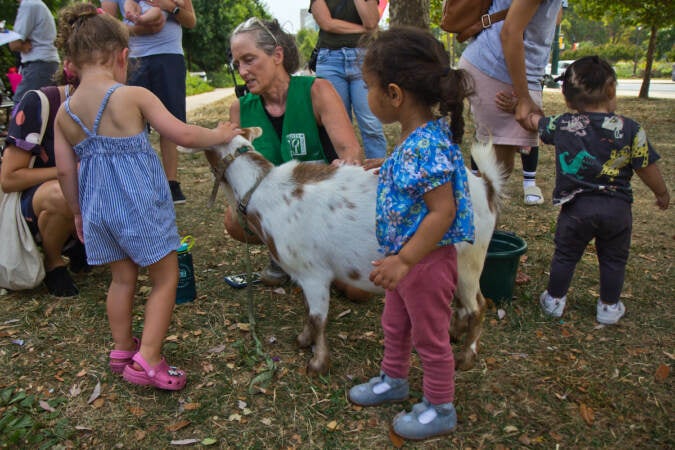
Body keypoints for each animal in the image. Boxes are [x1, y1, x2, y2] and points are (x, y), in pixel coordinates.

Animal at [185, 128, 502, 374]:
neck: (263, 190)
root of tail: (486, 185)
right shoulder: (304, 274)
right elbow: (308, 311)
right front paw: (303, 340)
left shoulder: (314, 273)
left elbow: (318, 317)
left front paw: (317, 363)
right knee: (464, 303)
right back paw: (454, 334)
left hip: (470, 259)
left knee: (479, 306)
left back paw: (466, 357)